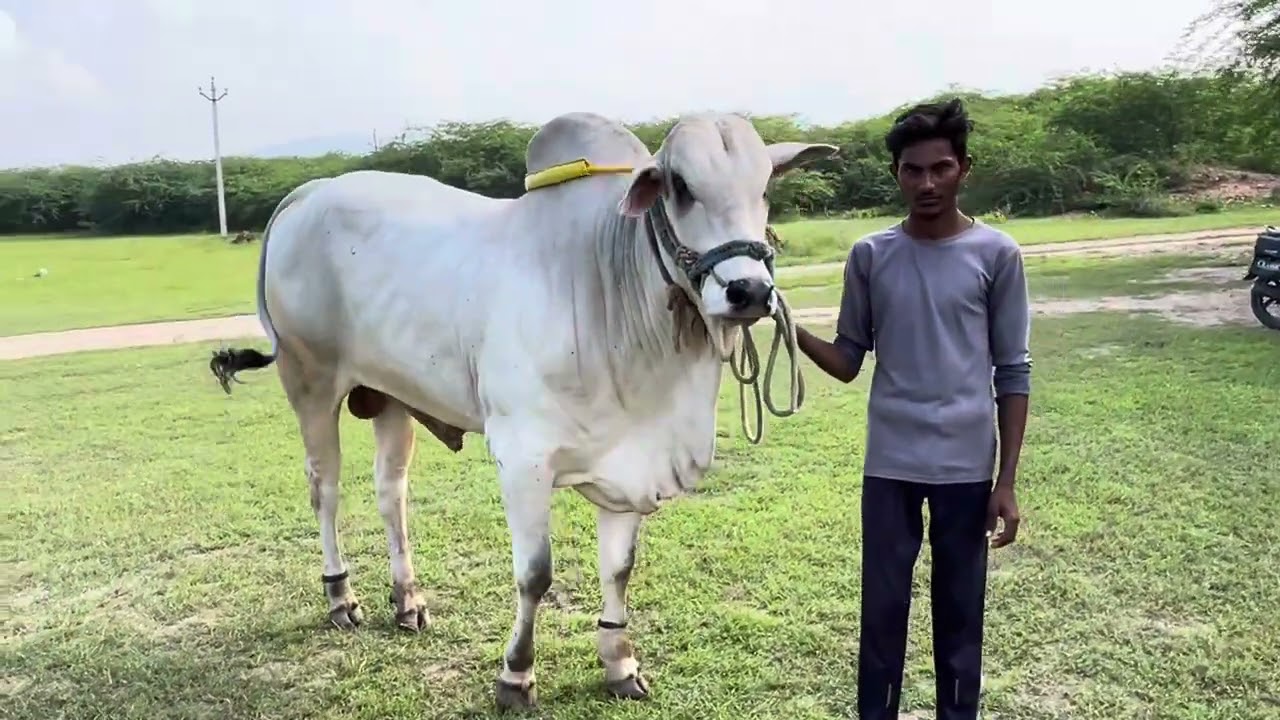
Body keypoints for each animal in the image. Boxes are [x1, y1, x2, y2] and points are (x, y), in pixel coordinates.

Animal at [209, 111, 836, 709]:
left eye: (765, 187)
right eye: (680, 185)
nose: (750, 292)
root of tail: (308, 191)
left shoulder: (631, 461)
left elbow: (620, 568)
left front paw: (620, 664)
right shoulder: (522, 458)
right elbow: (535, 574)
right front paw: (516, 675)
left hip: (391, 396)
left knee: (391, 492)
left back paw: (407, 599)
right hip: (310, 379)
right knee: (326, 488)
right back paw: (341, 595)